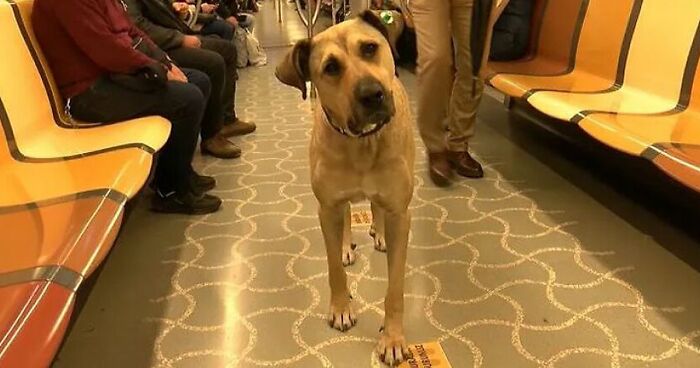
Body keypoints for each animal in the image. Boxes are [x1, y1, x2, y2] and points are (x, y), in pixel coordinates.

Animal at [274, 10, 416, 366]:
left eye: (369, 48)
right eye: (331, 68)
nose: (371, 94)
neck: (363, 142)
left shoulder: (400, 213)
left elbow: (395, 288)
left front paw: (393, 337)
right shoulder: (326, 208)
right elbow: (334, 269)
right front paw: (341, 307)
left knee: (375, 208)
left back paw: (378, 232)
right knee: (348, 213)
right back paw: (345, 243)